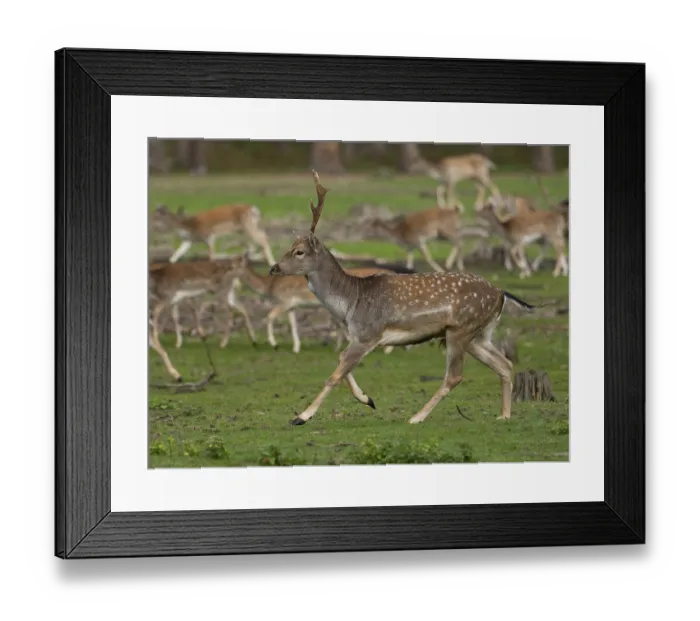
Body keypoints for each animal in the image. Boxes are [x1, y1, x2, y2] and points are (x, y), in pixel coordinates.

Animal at [228, 254, 396, 354]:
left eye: (233, 265)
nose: (224, 271)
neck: (268, 286)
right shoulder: (291, 306)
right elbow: (293, 325)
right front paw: (296, 347)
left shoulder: (284, 301)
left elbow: (269, 317)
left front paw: (274, 344)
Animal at [268, 170, 536, 426]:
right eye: (289, 247)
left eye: (299, 251)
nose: (274, 268)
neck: (350, 303)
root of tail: (501, 293)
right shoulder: (360, 336)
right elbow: (341, 361)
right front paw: (368, 399)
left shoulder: (369, 334)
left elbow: (335, 374)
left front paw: (301, 416)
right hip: (479, 334)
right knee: (505, 364)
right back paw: (504, 415)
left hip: (461, 329)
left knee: (455, 376)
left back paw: (417, 417)